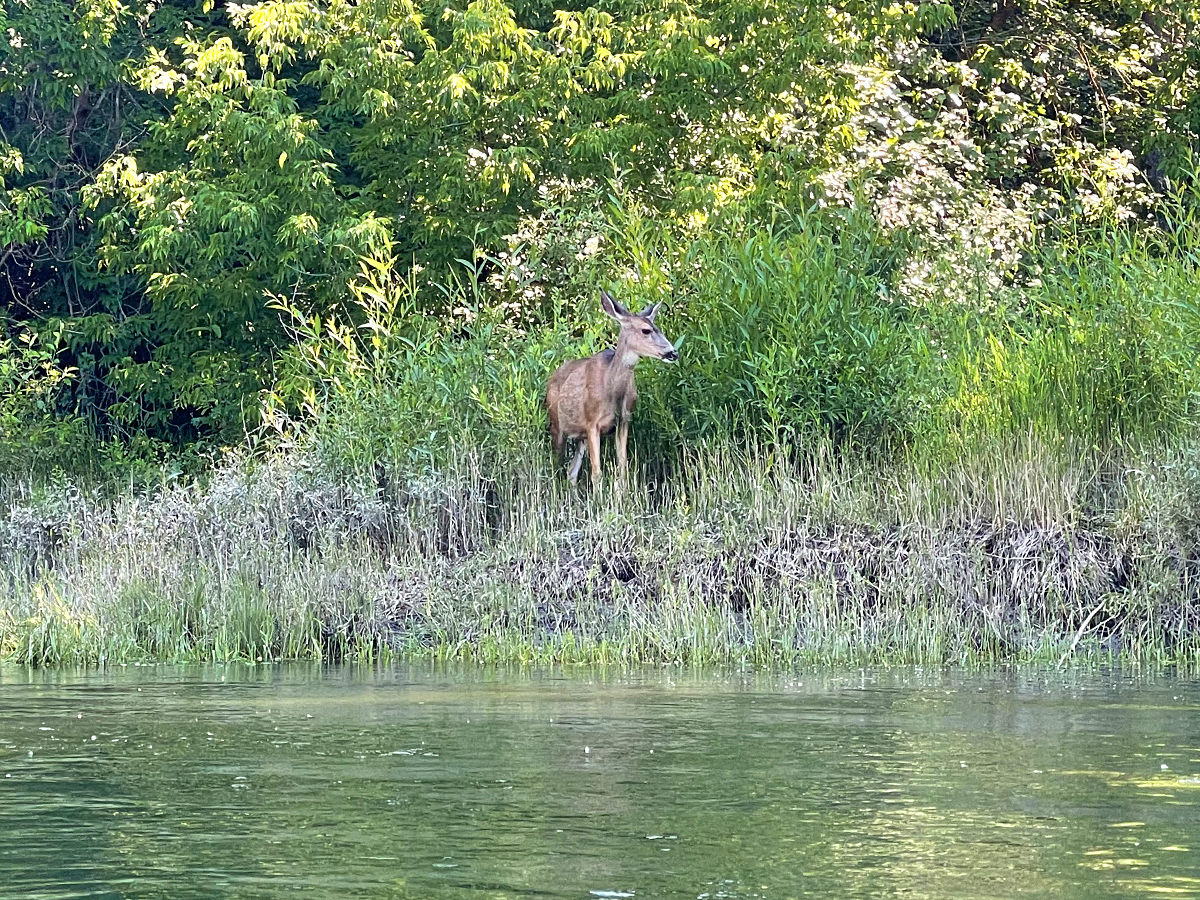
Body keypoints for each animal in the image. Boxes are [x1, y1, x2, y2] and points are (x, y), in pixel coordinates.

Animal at [549, 289, 681, 487]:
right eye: (646, 330)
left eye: (659, 328)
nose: (673, 353)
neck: (612, 392)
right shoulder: (591, 422)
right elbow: (596, 473)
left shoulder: (624, 420)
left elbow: (622, 469)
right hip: (557, 425)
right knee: (556, 468)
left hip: (580, 437)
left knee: (571, 473)